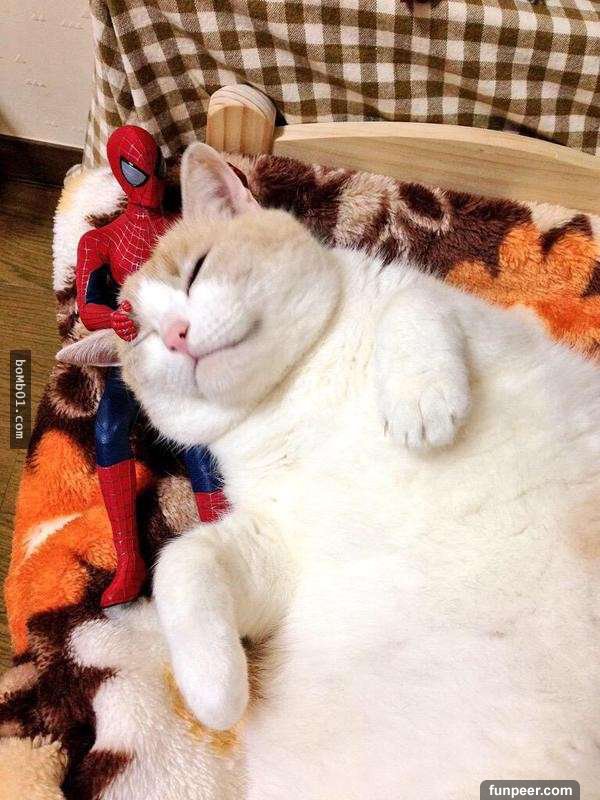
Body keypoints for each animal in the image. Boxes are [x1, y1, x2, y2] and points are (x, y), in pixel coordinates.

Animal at [63, 143, 600, 799]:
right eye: (138, 335)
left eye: (196, 270)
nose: (175, 334)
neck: (296, 390)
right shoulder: (276, 541)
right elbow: (180, 561)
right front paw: (215, 689)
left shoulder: (491, 321)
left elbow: (414, 302)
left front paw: (420, 403)